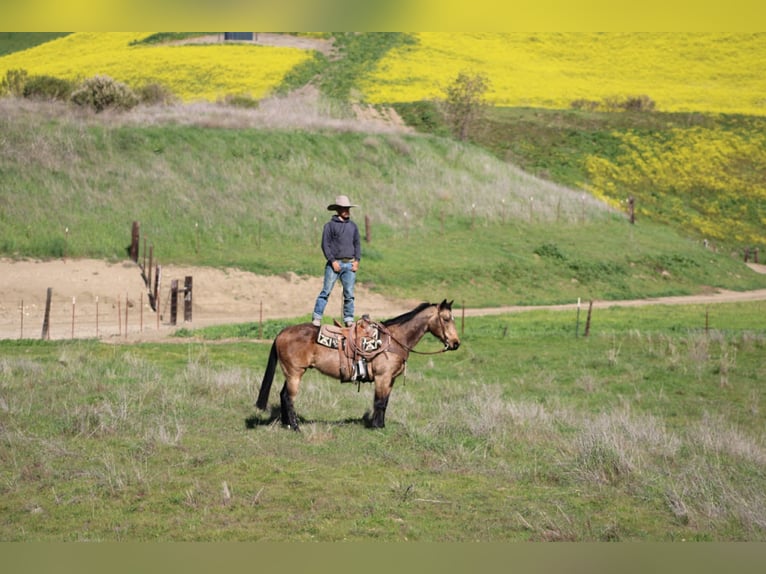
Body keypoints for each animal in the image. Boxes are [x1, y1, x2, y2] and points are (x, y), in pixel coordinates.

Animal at [255, 299, 461, 430]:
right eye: (446, 319)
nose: (456, 343)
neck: (392, 340)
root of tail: (282, 332)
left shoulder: (390, 380)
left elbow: (385, 402)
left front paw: (381, 425)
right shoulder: (382, 377)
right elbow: (379, 402)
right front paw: (377, 427)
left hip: (291, 373)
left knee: (283, 395)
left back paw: (287, 424)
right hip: (295, 373)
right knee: (289, 398)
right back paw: (296, 426)